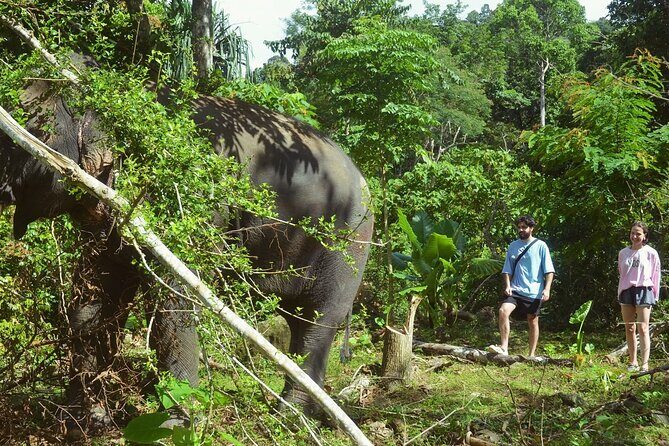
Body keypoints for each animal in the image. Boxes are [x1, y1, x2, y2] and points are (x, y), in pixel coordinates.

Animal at [0, 78, 373, 435]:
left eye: (22, 127)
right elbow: (97, 296)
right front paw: (84, 421)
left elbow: (174, 300)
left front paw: (175, 424)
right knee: (299, 323)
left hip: (348, 244)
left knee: (318, 322)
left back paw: (288, 421)